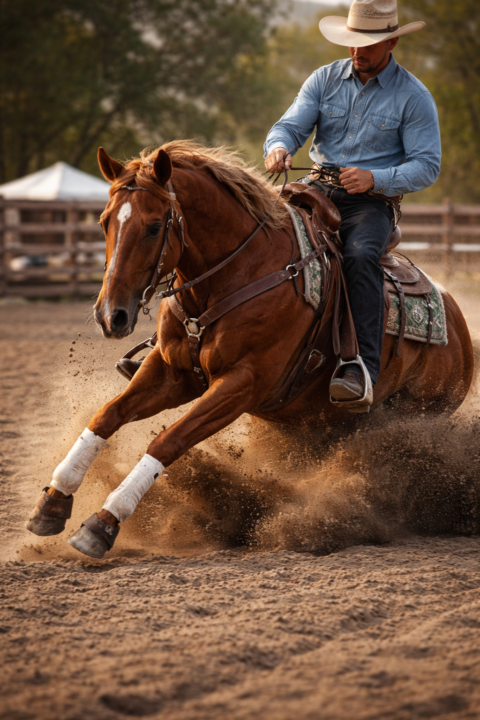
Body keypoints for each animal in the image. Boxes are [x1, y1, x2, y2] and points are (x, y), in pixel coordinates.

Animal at [26, 141, 474, 558]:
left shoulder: (242, 385)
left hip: (407, 414)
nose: (111, 315)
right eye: (104, 222)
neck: (235, 273)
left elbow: (168, 441)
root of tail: (461, 331)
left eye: (154, 227)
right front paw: (52, 503)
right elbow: (107, 416)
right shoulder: (171, 372)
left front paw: (103, 523)